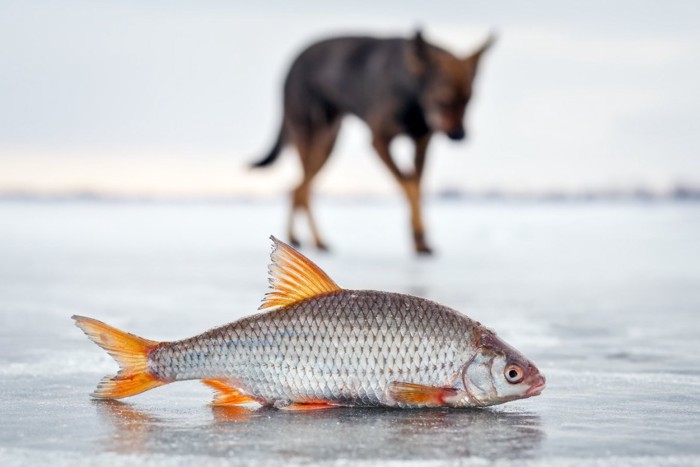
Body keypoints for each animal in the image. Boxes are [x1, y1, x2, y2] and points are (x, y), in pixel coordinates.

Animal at [252, 30, 492, 254]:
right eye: (443, 99)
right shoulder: (379, 141)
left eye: (469, 100)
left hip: (328, 142)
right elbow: (407, 185)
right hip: (308, 134)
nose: (460, 135)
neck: (412, 94)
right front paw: (418, 235)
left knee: (299, 188)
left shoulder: (421, 142)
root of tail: (294, 61)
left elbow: (416, 186)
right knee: (301, 189)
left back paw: (308, 239)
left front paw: (420, 239)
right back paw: (307, 239)